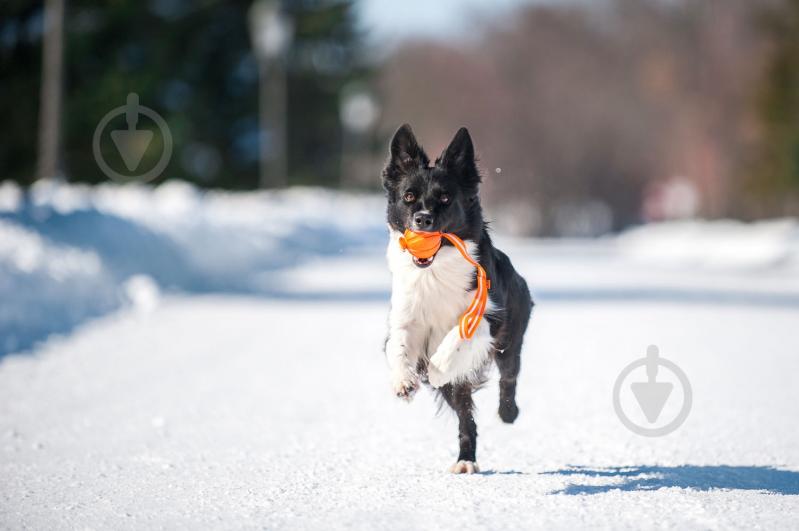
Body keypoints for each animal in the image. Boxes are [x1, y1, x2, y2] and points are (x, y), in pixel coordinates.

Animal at [382, 123, 536, 474]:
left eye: (445, 197)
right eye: (409, 196)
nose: (422, 219)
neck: (435, 270)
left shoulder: (489, 315)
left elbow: (457, 339)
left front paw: (437, 368)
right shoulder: (405, 317)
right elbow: (399, 346)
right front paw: (403, 381)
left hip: (511, 338)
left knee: (508, 376)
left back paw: (506, 414)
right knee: (467, 417)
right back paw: (466, 459)